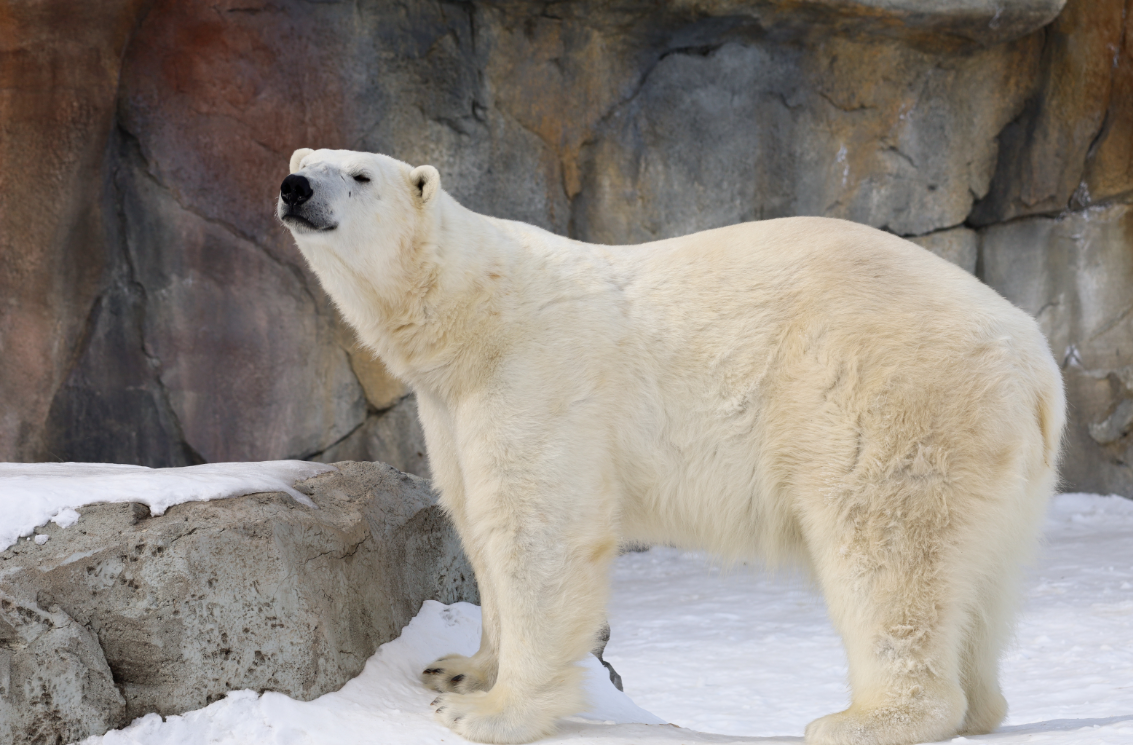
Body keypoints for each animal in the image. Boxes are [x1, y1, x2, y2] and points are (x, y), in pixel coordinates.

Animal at [277, 148, 1065, 745]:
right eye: (302, 161)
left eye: (360, 174)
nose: (295, 189)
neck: (475, 310)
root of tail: (1035, 363)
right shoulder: (451, 406)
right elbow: (474, 515)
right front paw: (459, 667)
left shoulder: (540, 373)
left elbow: (536, 531)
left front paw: (483, 711)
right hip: (1001, 460)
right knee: (981, 575)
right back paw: (979, 705)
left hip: (892, 396)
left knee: (884, 546)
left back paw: (864, 719)